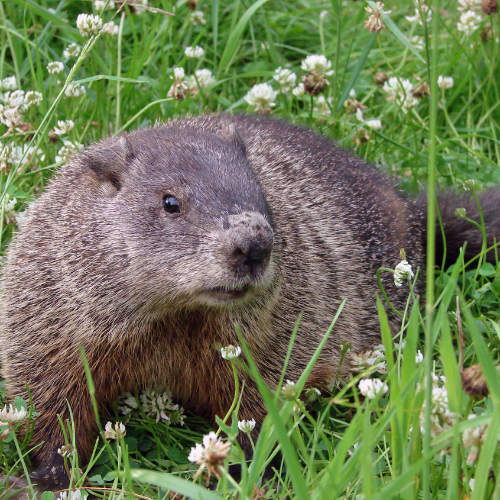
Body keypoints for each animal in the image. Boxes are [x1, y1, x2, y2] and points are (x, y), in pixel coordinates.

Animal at [1, 114, 499, 489]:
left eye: (260, 194)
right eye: (170, 202)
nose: (254, 245)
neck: (175, 317)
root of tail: (415, 214)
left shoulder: (277, 327)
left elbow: (260, 399)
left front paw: (248, 470)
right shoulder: (52, 307)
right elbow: (52, 392)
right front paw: (46, 475)